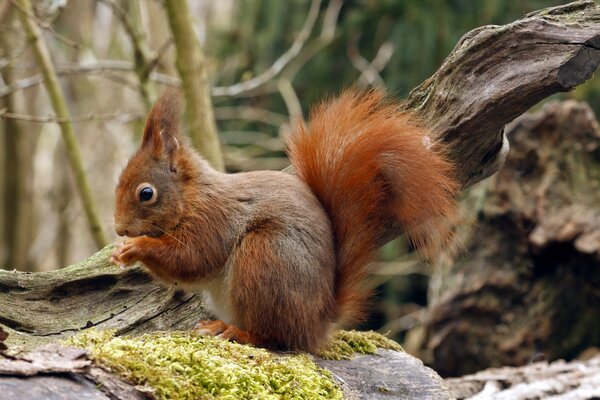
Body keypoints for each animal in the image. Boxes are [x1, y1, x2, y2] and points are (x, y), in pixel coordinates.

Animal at [111, 89, 460, 352]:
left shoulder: (213, 221)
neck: (192, 197)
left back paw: (235, 332)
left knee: (275, 338)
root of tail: (317, 323)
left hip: (265, 257)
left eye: (146, 193)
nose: (119, 228)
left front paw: (134, 248)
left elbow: (190, 259)